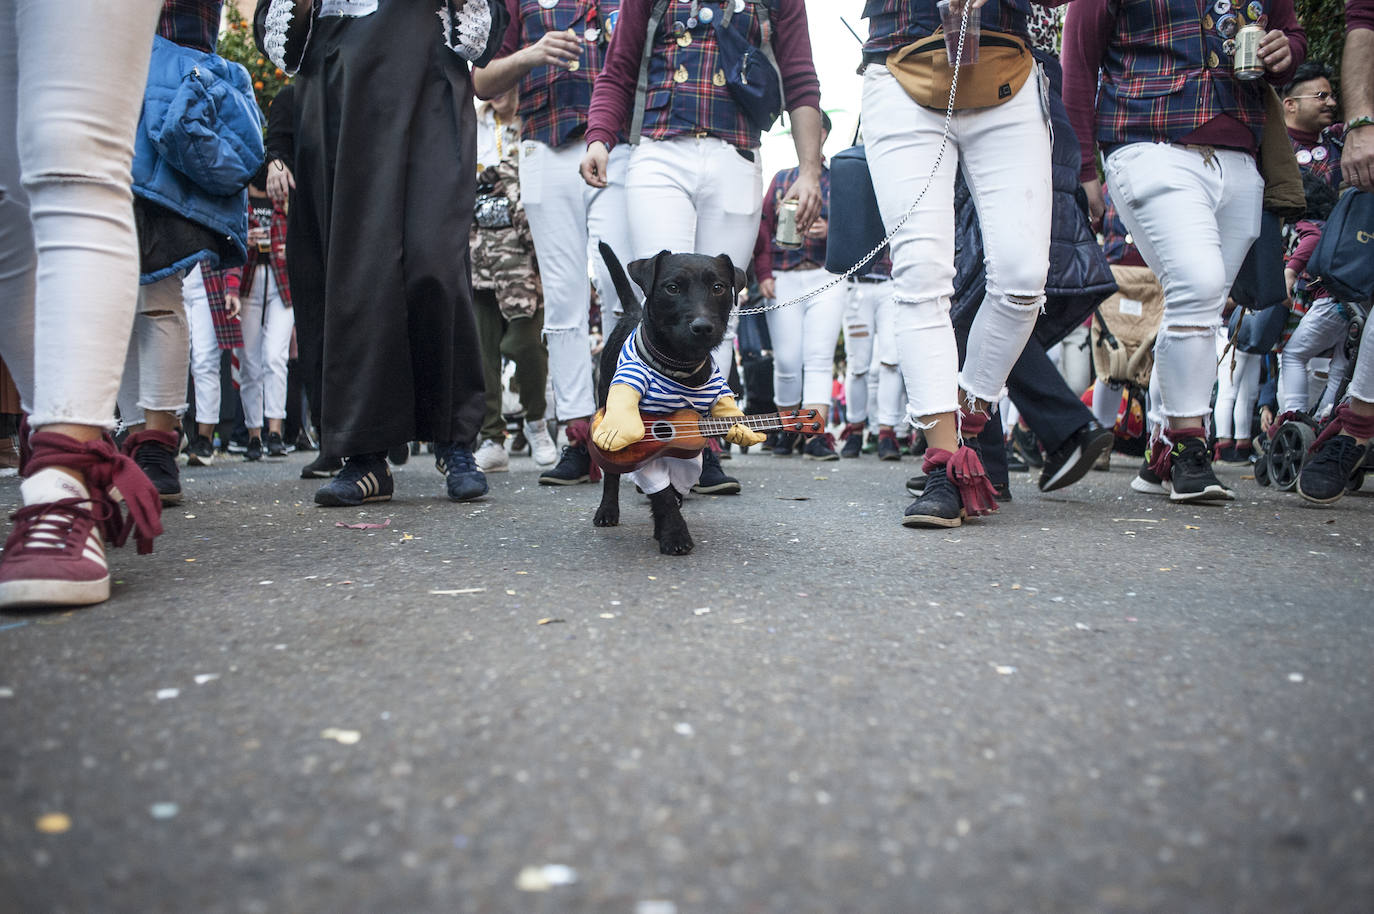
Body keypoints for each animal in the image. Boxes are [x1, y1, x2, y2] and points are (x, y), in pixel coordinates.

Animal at [588, 241, 741, 552]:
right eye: (672, 288)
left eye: (718, 287)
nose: (702, 326)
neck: (679, 365)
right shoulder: (642, 432)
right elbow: (662, 491)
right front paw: (674, 533)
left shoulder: (688, 439)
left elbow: (675, 485)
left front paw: (664, 525)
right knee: (611, 472)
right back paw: (608, 509)